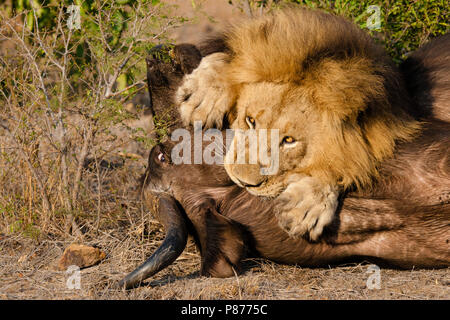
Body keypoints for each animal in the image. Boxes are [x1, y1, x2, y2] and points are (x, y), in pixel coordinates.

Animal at [174, 7, 420, 240]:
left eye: (289, 140)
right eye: (250, 120)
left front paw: (305, 206)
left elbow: (344, 159)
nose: (243, 182)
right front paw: (202, 96)